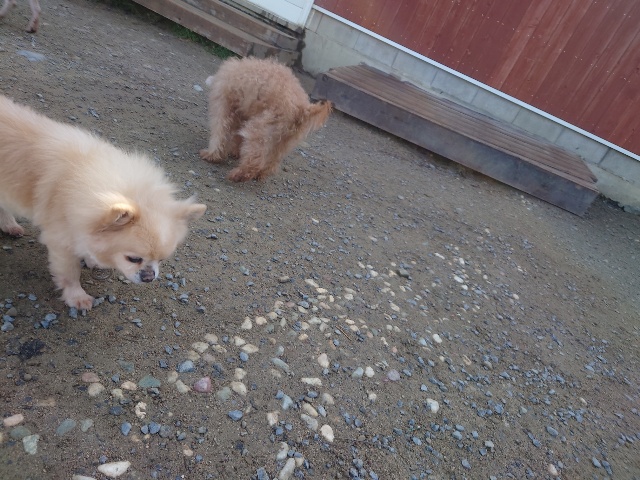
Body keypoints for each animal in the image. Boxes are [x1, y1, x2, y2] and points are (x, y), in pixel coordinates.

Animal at [0, 95, 207, 310]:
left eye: (162, 259)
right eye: (133, 259)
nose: (149, 277)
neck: (83, 171)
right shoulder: (61, 240)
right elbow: (70, 273)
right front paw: (77, 297)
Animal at [199, 57, 332, 182]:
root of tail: (301, 108)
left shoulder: (224, 107)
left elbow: (220, 134)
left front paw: (212, 155)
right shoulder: (243, 114)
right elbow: (236, 137)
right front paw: (235, 151)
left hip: (259, 130)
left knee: (255, 160)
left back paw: (239, 175)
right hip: (284, 139)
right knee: (271, 161)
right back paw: (260, 173)